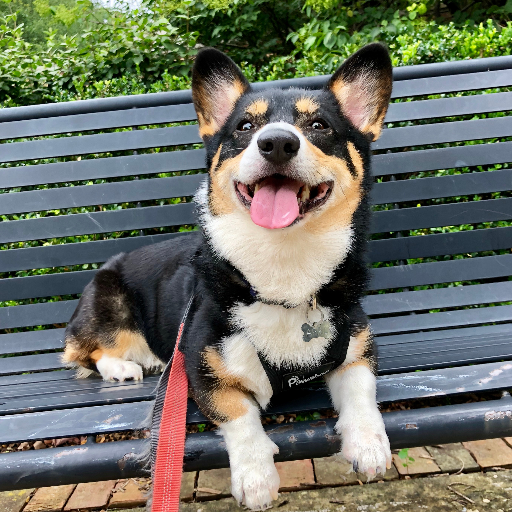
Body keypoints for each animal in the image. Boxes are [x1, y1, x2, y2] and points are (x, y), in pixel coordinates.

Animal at [63, 43, 392, 508]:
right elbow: (240, 415)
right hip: (108, 297)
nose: (276, 143)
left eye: (320, 125)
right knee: (89, 350)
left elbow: (362, 394)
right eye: (245, 126)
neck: (283, 263)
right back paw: (124, 367)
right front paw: (256, 479)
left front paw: (369, 447)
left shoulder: (358, 349)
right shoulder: (204, 373)